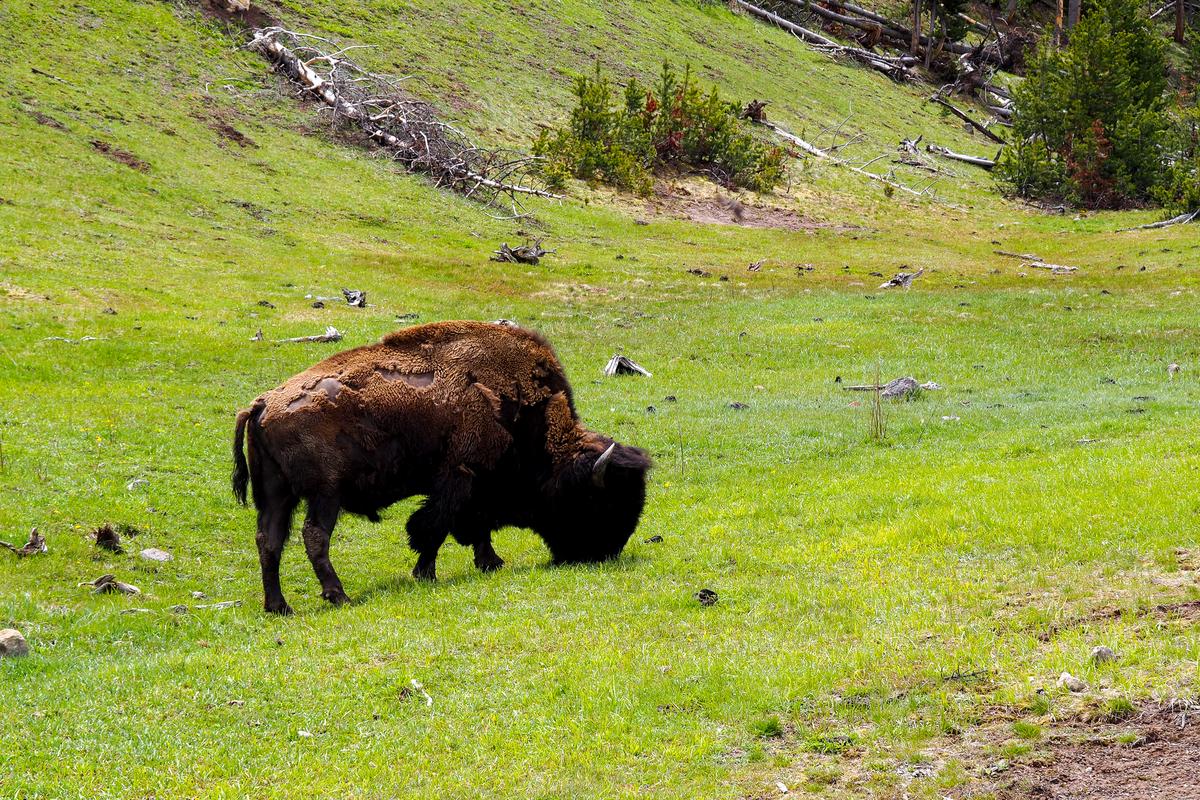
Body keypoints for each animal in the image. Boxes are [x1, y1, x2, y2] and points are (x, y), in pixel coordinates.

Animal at [232, 321, 651, 614]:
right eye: (600, 502)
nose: (603, 553)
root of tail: (261, 403)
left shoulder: (475, 485)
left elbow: (473, 525)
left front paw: (490, 562)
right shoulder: (459, 477)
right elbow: (434, 527)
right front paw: (427, 573)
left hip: (277, 496)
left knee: (269, 540)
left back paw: (280, 607)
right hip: (324, 494)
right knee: (314, 536)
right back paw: (339, 596)